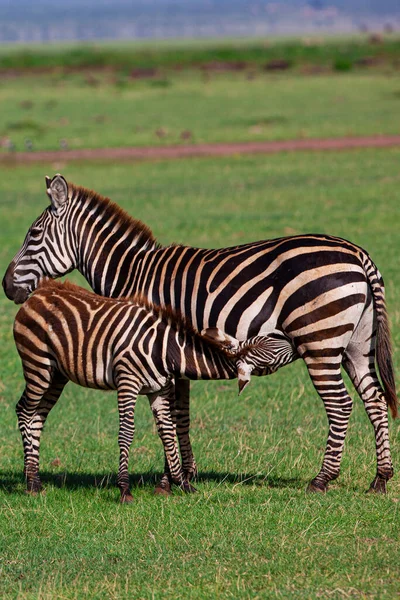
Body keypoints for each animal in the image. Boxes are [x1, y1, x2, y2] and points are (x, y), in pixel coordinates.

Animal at [13, 280, 284, 502]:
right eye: (274, 347)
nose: (287, 334)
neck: (166, 349)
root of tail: (39, 292)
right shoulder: (127, 381)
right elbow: (126, 432)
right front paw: (125, 489)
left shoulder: (160, 389)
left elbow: (167, 432)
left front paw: (182, 484)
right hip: (37, 363)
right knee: (24, 411)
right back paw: (30, 482)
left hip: (57, 375)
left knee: (38, 416)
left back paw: (35, 479)